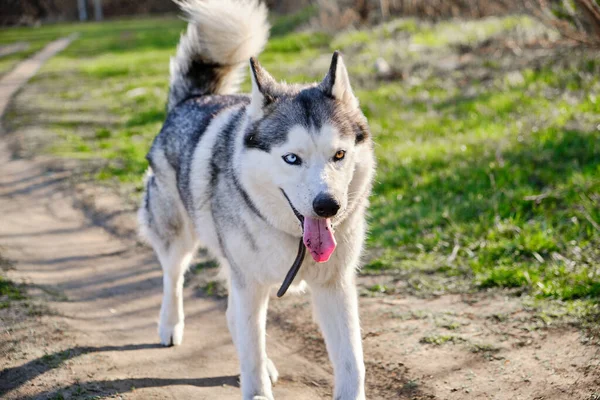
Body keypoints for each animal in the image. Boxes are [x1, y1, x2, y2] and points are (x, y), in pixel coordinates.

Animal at [139, 1, 376, 398]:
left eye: (339, 155)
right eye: (291, 158)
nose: (328, 206)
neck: (295, 241)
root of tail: (192, 99)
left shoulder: (334, 286)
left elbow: (352, 364)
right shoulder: (250, 283)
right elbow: (250, 348)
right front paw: (257, 387)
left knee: (231, 315)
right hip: (180, 240)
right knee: (174, 278)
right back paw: (170, 326)